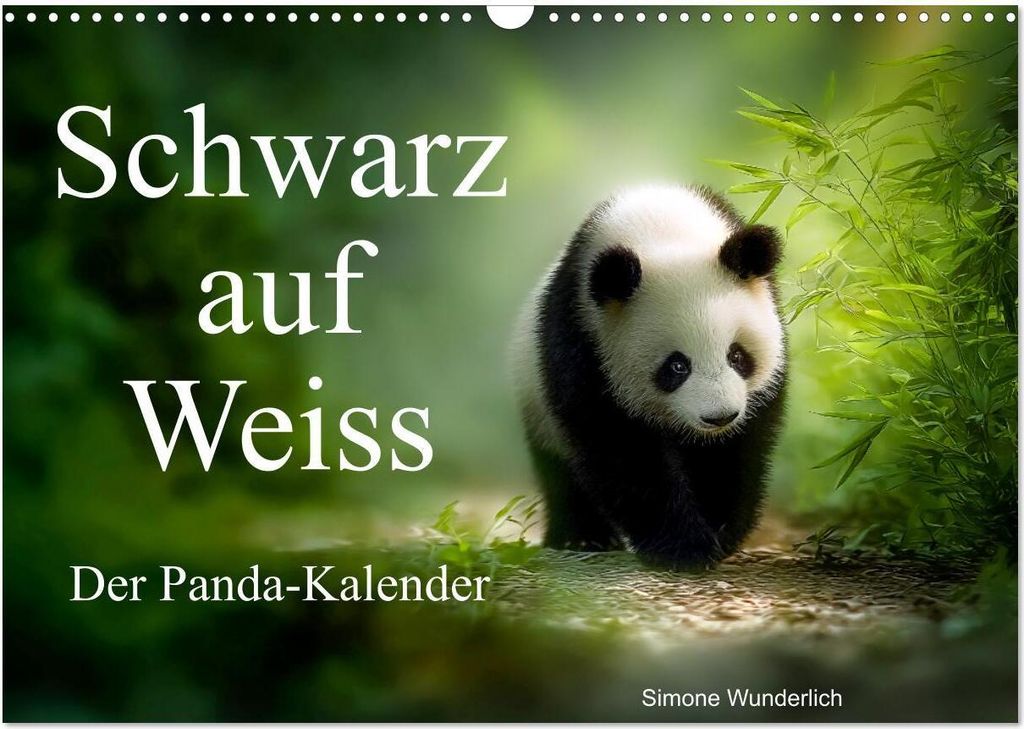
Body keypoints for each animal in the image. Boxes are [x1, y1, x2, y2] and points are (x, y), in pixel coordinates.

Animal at [512, 183, 787, 569]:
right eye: (676, 366)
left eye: (737, 356)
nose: (719, 416)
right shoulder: (583, 335)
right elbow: (620, 448)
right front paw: (684, 546)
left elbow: (733, 450)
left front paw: (721, 532)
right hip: (537, 405)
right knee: (561, 473)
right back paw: (582, 537)